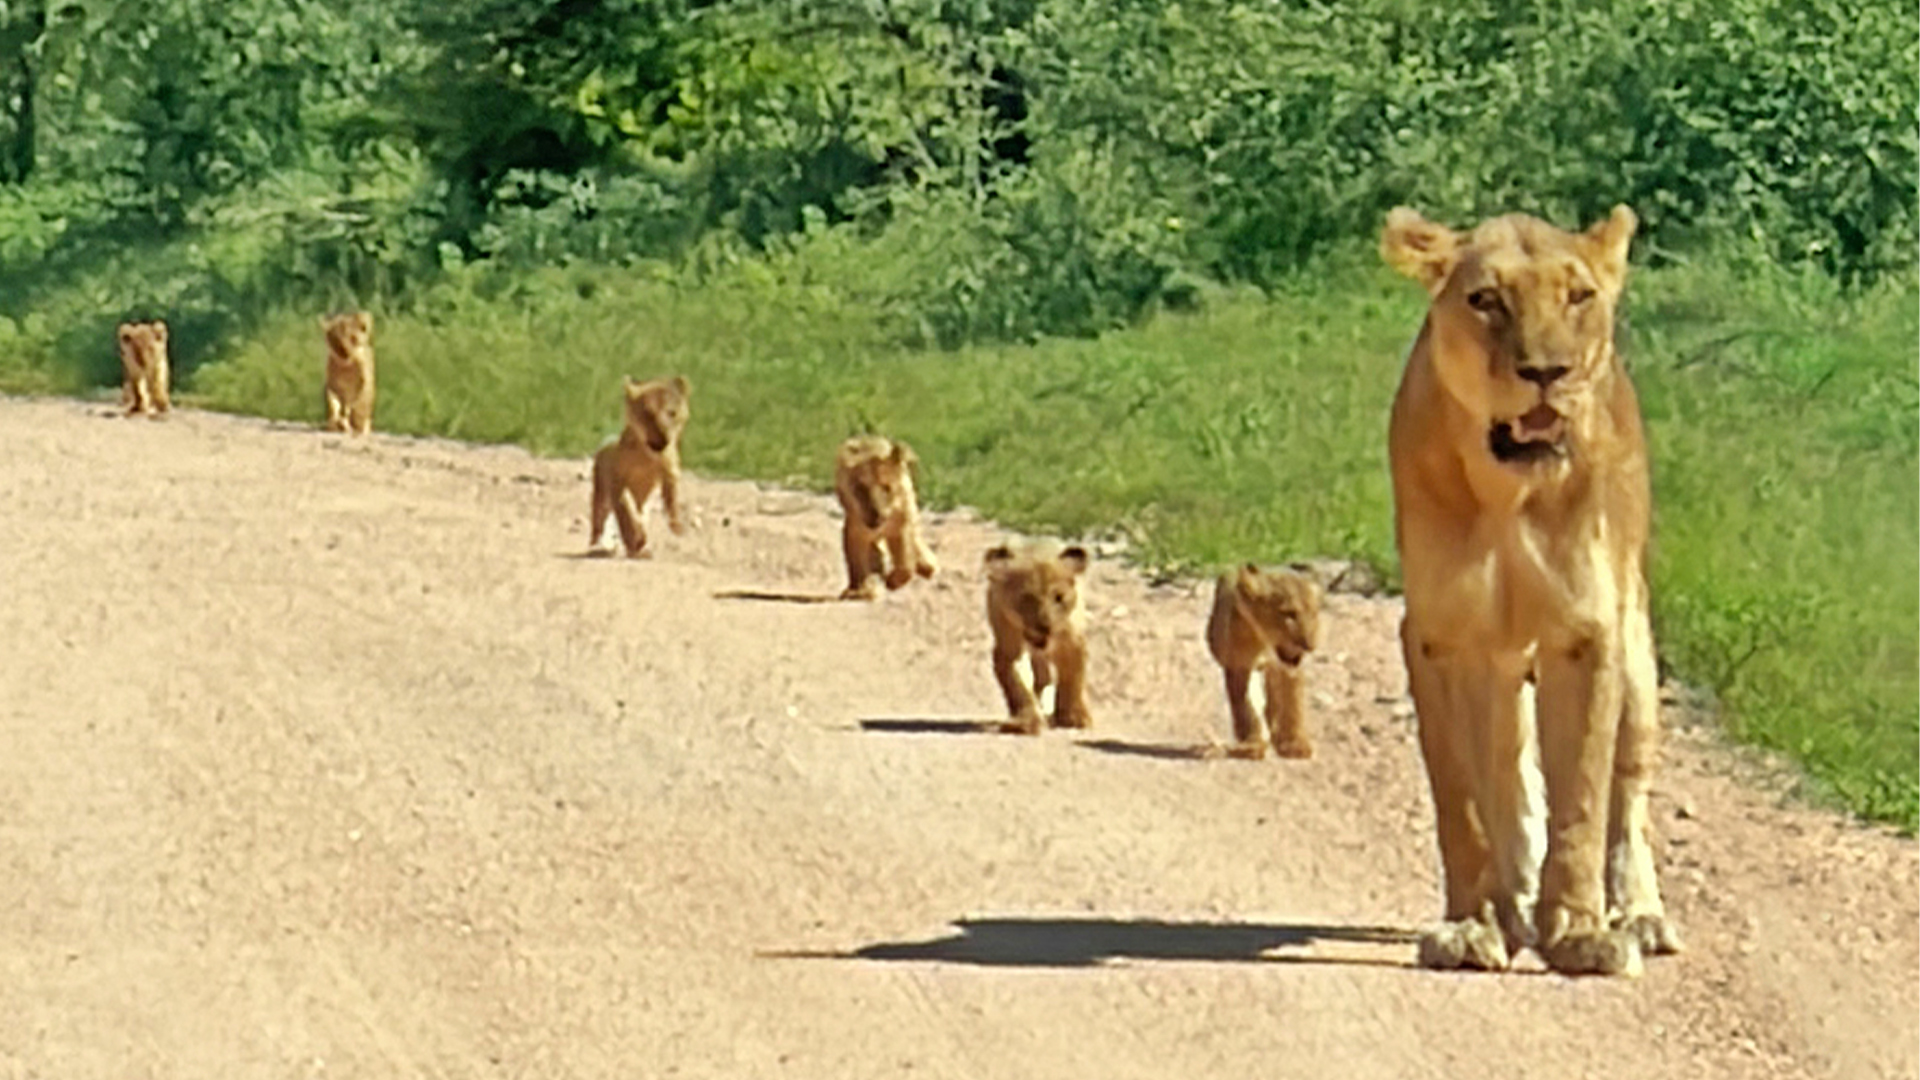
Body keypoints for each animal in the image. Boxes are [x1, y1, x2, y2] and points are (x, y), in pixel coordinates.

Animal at [589, 375, 690, 558]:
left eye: (672, 413)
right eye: (647, 413)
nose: (662, 440)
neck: (646, 457)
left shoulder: (669, 475)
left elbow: (671, 501)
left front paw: (676, 527)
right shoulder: (617, 482)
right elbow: (626, 513)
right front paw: (633, 539)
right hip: (600, 496)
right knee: (598, 519)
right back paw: (597, 543)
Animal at [834, 434, 939, 600]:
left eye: (886, 488)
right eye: (861, 489)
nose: (876, 515)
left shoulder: (901, 527)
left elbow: (906, 562)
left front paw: (893, 582)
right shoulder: (855, 529)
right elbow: (856, 561)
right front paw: (860, 590)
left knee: (916, 538)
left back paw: (927, 565)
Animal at [984, 543, 1092, 735]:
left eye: (1058, 598)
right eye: (1027, 598)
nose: (1045, 626)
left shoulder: (1072, 644)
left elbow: (1072, 681)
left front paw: (1073, 717)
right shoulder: (1009, 648)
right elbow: (1018, 683)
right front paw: (1026, 722)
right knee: (1041, 678)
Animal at [1206, 564, 1322, 760]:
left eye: (1313, 613)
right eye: (1289, 614)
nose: (1310, 646)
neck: (1263, 644)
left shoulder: (1289, 670)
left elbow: (1292, 704)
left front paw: (1294, 743)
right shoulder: (1239, 667)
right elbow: (1247, 706)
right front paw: (1252, 744)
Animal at [1380, 204, 1680, 977]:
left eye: (1578, 296)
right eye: (1486, 299)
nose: (1547, 372)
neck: (1505, 492)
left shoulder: (1587, 633)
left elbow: (1583, 795)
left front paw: (1579, 932)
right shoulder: (1439, 635)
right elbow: (1462, 797)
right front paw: (1473, 926)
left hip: (1637, 656)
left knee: (1628, 794)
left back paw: (1639, 914)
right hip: (1497, 659)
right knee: (1510, 773)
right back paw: (1514, 901)